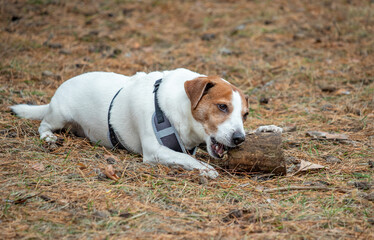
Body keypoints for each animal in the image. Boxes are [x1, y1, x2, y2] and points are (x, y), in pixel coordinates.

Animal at [10, 67, 280, 178]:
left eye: (245, 115)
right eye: (222, 107)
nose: (239, 139)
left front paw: (268, 128)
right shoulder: (154, 151)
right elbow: (186, 158)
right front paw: (205, 169)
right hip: (59, 114)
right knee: (43, 125)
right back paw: (48, 137)